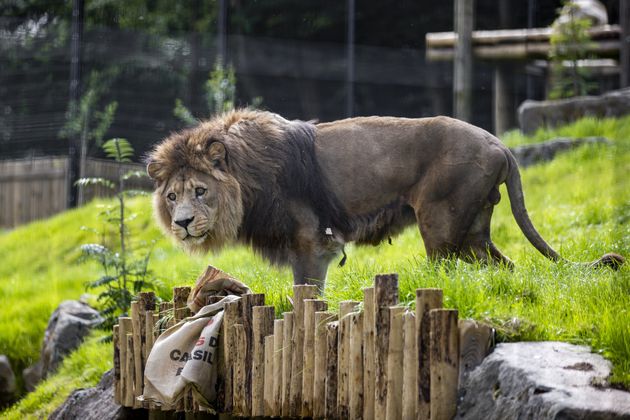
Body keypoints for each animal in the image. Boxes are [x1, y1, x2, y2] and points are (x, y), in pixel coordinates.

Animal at [148, 110, 628, 290]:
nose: (183, 223)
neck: (245, 183)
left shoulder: (311, 241)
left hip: (441, 224)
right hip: (473, 231)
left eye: (200, 191)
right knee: (503, 267)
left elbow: (306, 292)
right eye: (171, 196)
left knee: (449, 270)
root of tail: (501, 143)